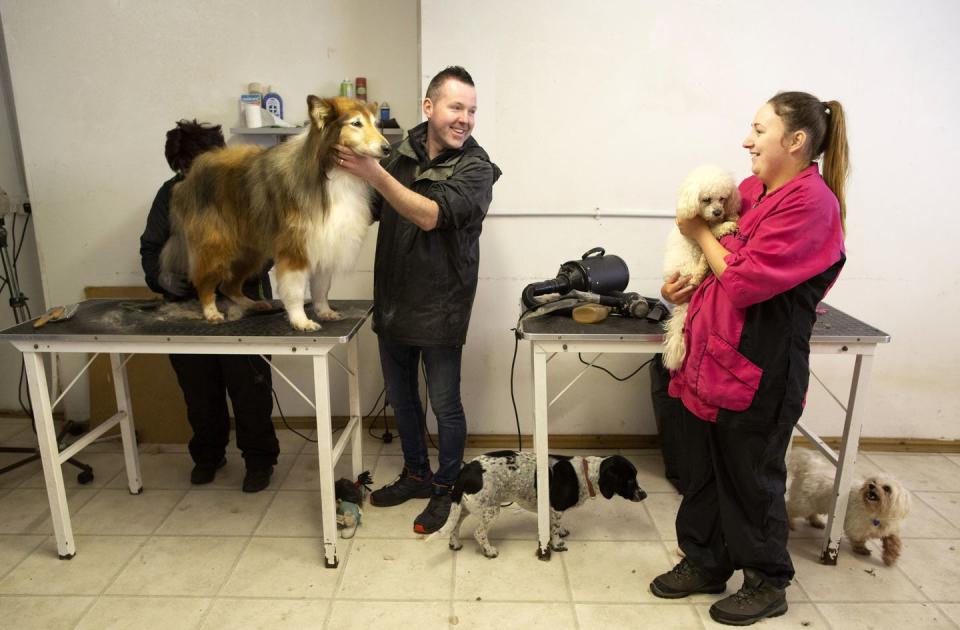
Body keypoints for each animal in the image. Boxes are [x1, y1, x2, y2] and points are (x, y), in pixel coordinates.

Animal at [162, 97, 390, 334]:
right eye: (356, 123)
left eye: (374, 123)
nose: (387, 148)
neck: (331, 173)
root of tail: (187, 180)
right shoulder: (295, 248)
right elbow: (296, 290)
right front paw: (301, 321)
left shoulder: (324, 241)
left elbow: (321, 287)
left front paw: (324, 311)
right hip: (215, 244)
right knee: (205, 281)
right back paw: (211, 312)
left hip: (250, 250)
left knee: (228, 285)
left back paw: (253, 304)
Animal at [660, 167, 744, 370]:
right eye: (706, 199)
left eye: (722, 198)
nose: (718, 212)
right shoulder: (700, 232)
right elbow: (714, 231)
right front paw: (728, 224)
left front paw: (732, 216)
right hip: (688, 267)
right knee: (697, 273)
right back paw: (700, 270)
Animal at [784, 450, 912, 568]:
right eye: (873, 481)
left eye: (887, 488)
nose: (871, 486)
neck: (876, 512)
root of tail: (808, 469)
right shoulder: (856, 526)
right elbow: (858, 539)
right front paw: (861, 549)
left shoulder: (888, 529)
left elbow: (893, 540)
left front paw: (891, 557)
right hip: (803, 505)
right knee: (789, 507)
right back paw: (790, 523)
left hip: (814, 504)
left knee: (811, 514)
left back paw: (816, 522)